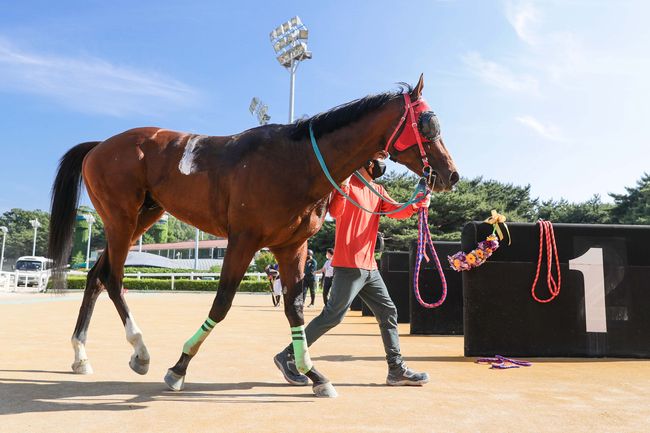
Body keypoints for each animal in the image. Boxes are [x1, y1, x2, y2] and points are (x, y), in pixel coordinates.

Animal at [49, 73, 456, 394]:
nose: (450, 173)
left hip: (143, 217)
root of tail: (99, 146)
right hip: (120, 218)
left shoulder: (292, 247)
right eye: (428, 124)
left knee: (95, 275)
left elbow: (294, 309)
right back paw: (141, 351)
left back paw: (80, 355)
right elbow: (222, 303)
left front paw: (312, 374)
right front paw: (179, 367)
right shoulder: (243, 240)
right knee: (114, 278)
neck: (296, 161)